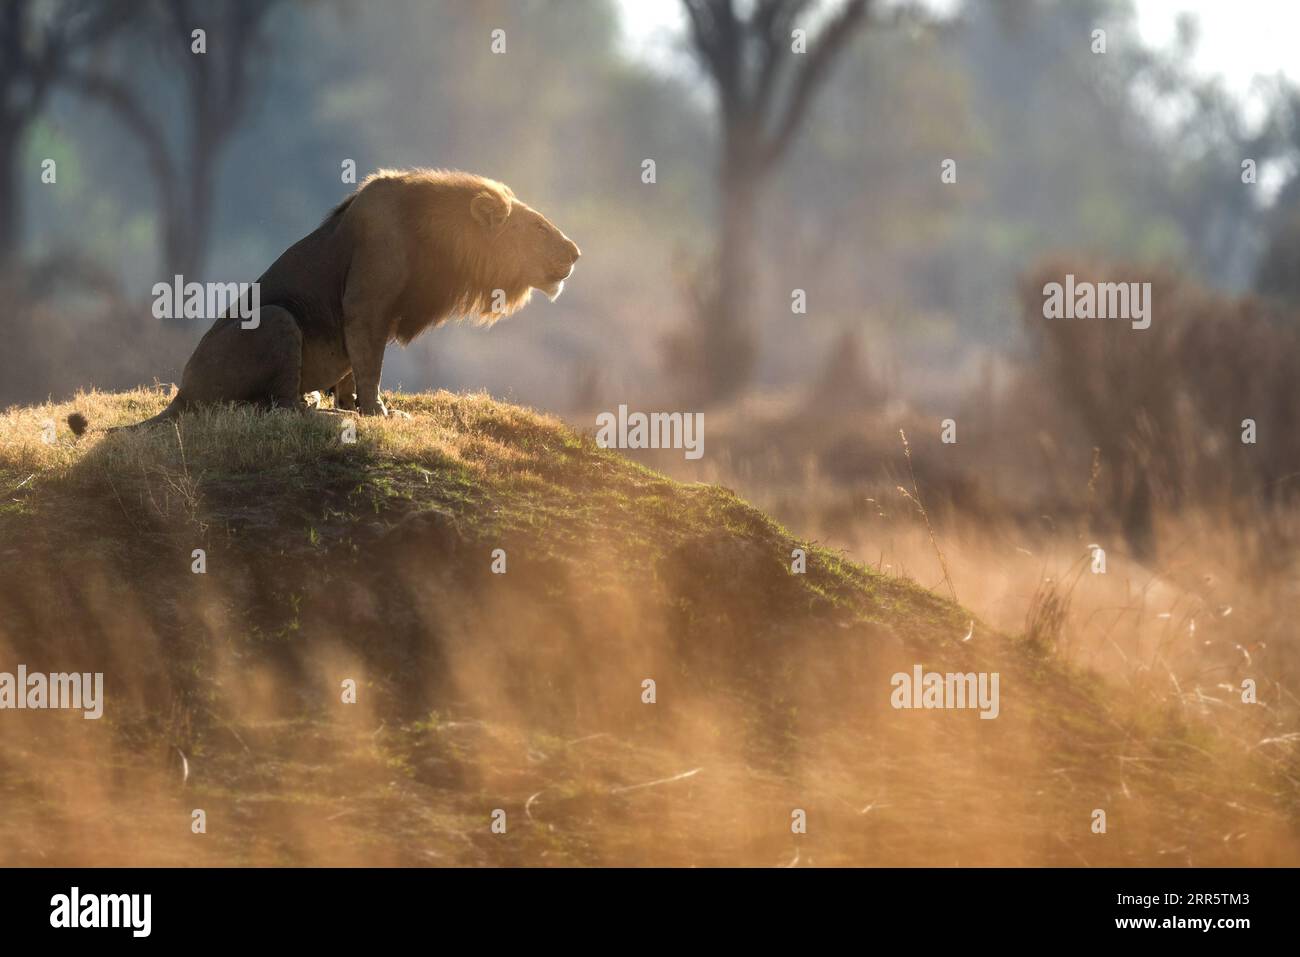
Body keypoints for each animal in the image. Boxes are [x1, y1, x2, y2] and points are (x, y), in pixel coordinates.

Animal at [73, 168, 580, 431]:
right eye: (538, 228)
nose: (576, 252)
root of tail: (180, 391)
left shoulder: (369, 320)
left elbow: (355, 366)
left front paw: (353, 404)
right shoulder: (366, 306)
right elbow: (370, 364)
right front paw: (378, 413)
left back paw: (318, 399)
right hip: (275, 319)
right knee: (270, 404)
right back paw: (306, 406)